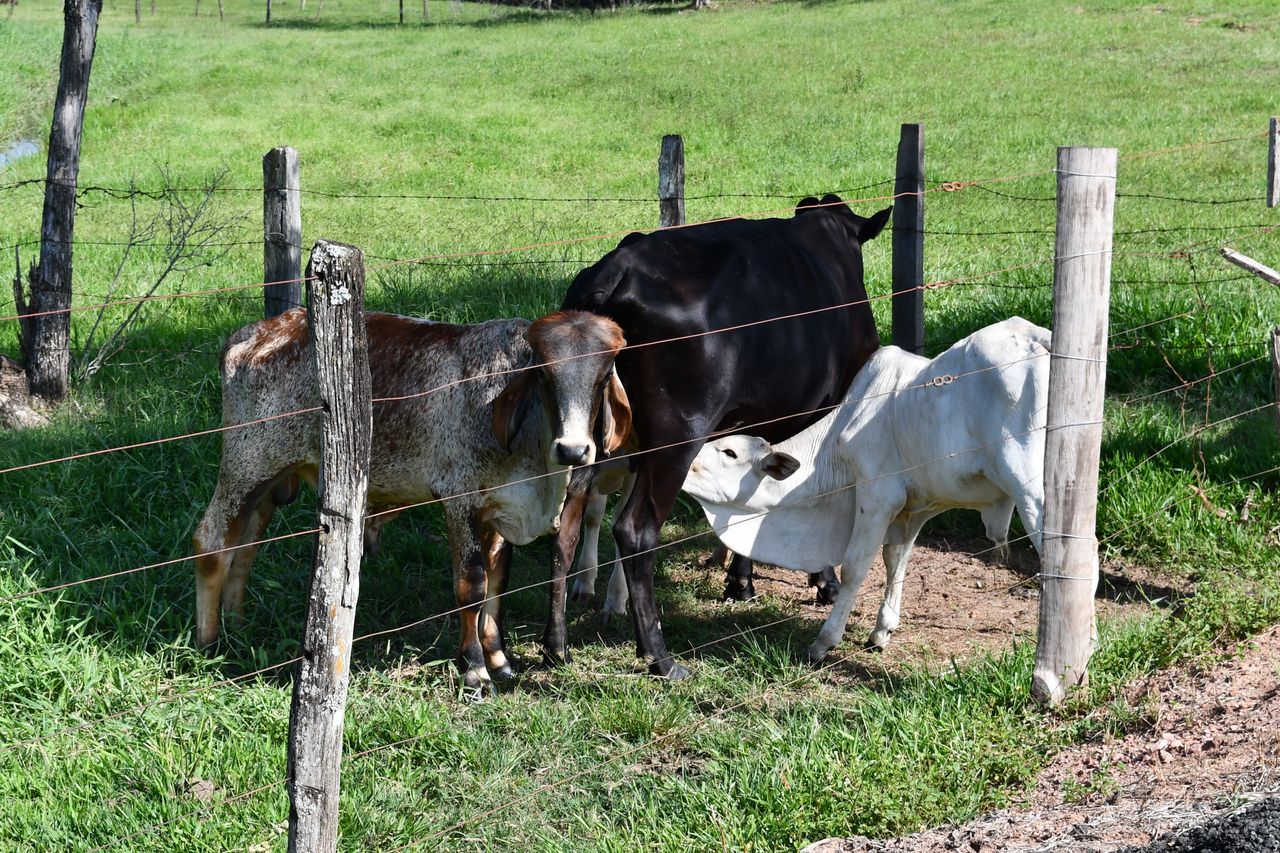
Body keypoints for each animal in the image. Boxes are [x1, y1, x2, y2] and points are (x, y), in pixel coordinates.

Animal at [192, 307, 630, 697]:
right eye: (544, 373)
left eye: (604, 373)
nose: (573, 450)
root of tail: (251, 334)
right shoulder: (460, 502)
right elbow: (472, 586)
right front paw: (474, 671)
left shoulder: (499, 511)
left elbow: (498, 581)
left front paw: (499, 660)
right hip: (246, 465)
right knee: (211, 542)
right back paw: (208, 642)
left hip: (270, 480)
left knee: (246, 544)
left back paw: (236, 621)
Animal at [548, 194, 891, 678]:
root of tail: (615, 270)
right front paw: (822, 580)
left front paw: (740, 580)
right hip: (676, 435)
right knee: (635, 530)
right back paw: (659, 656)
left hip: (586, 436)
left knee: (567, 524)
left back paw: (556, 646)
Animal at [680, 318, 1050, 662]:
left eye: (729, 452)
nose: (683, 462)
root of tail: (1039, 338)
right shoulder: (913, 508)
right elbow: (896, 560)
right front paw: (881, 632)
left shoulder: (877, 498)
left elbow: (855, 567)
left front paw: (824, 642)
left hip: (1032, 495)